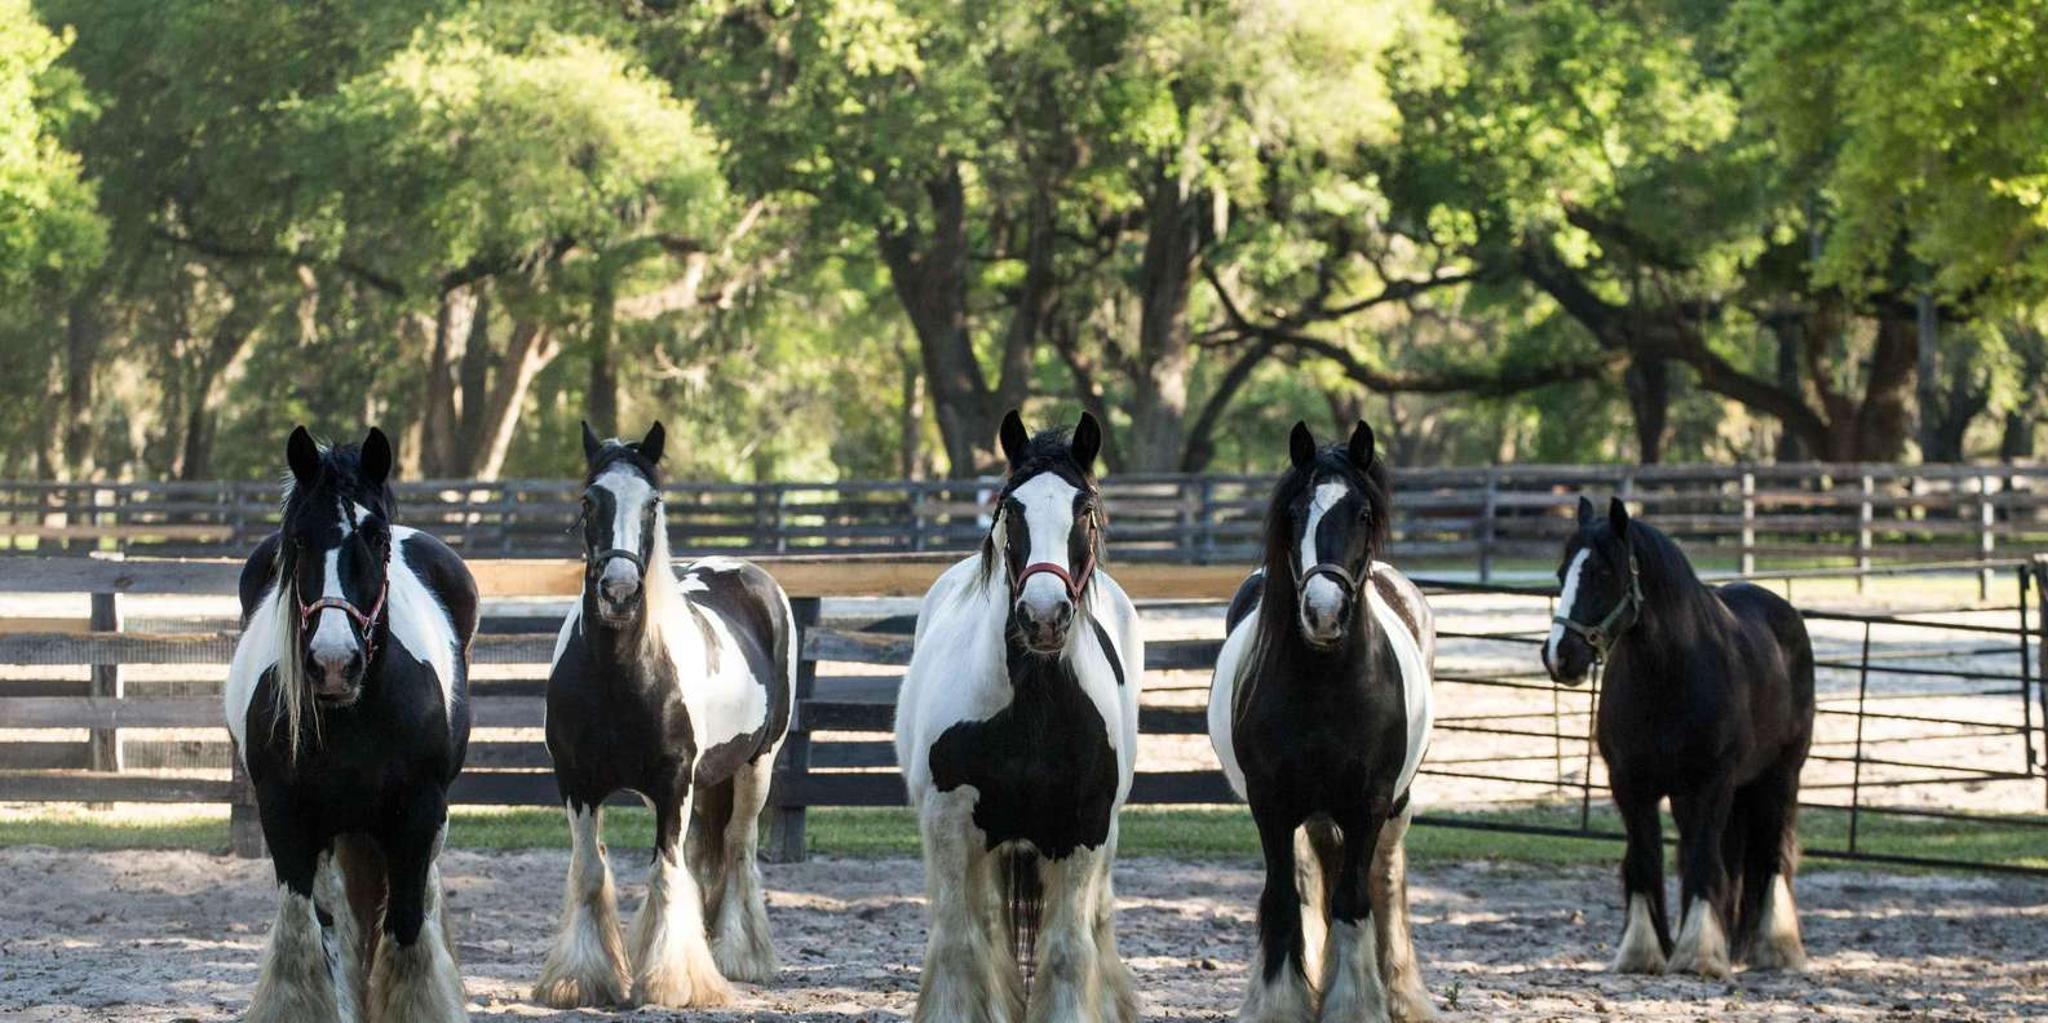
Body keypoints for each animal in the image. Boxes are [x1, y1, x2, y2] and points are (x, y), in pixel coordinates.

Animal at [223, 426, 478, 1023]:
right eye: (297, 540)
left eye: (377, 539)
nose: (334, 663)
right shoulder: (286, 815)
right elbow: (306, 935)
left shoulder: (417, 813)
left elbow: (406, 928)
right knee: (336, 919)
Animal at [533, 421, 795, 1009]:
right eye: (589, 500)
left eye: (652, 502)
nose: (619, 593)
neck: (622, 673)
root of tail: (746, 573)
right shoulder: (576, 781)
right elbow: (591, 871)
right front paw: (580, 980)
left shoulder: (674, 782)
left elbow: (667, 872)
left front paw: (672, 982)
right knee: (706, 854)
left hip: (758, 765)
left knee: (738, 847)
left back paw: (739, 956)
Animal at [893, 409, 1144, 1023]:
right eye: (1011, 508)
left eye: (1085, 509)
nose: (1044, 616)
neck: (1031, 714)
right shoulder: (950, 826)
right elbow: (962, 947)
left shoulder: (1083, 834)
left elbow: (1067, 954)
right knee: (985, 932)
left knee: (1095, 922)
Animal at [1207, 420, 1437, 1023]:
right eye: (1293, 514)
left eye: (1362, 513)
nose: (1323, 612)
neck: (1326, 684)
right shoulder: (1271, 803)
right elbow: (1285, 899)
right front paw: (1278, 1003)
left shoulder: (1370, 802)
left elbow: (1355, 901)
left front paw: (1357, 1005)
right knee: (1318, 878)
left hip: (1394, 805)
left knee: (1384, 877)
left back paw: (1399, 992)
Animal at [1542, 496, 1815, 978]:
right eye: (1561, 574)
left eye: (1604, 574)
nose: (1561, 656)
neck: (1667, 677)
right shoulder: (1630, 785)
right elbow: (1645, 860)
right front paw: (1643, 952)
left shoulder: (1710, 784)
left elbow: (1706, 863)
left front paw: (1698, 955)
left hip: (1779, 776)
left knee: (1771, 854)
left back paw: (1776, 948)